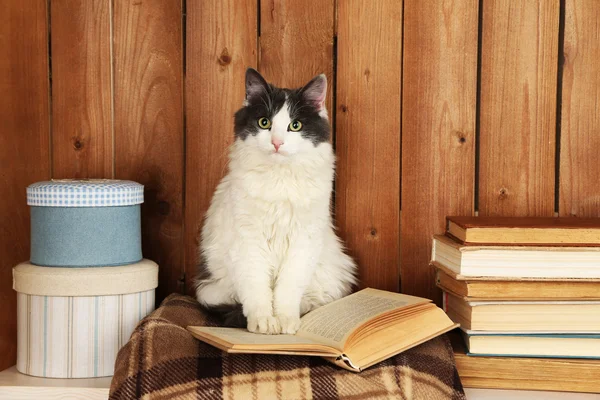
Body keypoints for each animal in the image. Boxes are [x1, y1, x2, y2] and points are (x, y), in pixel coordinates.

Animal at [196, 68, 356, 334]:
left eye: (295, 125)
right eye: (265, 123)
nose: (277, 142)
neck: (278, 179)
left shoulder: (303, 242)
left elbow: (288, 290)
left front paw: (286, 321)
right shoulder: (247, 241)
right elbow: (256, 290)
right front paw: (263, 322)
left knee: (313, 297)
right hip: (213, 285)